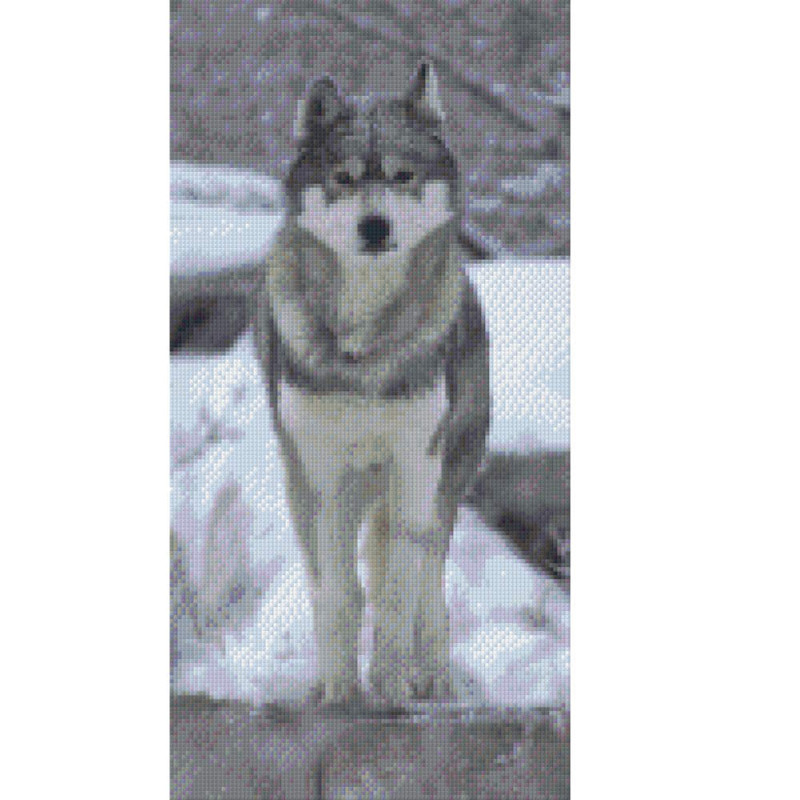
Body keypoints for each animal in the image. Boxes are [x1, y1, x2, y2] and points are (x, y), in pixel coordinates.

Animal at [174, 63, 490, 706]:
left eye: (402, 176)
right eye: (343, 179)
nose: (374, 226)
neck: (363, 346)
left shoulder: (415, 464)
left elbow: (398, 591)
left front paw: (391, 684)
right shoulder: (315, 471)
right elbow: (338, 593)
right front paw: (341, 690)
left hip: (440, 481)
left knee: (429, 578)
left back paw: (432, 675)